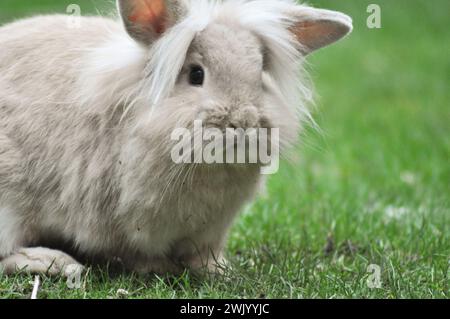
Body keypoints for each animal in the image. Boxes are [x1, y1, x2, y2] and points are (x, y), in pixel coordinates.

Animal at [0, 0, 352, 276]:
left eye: (259, 76)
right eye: (196, 74)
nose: (242, 122)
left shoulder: (210, 230)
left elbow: (202, 255)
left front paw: (217, 269)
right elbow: (137, 254)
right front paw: (160, 268)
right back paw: (55, 262)